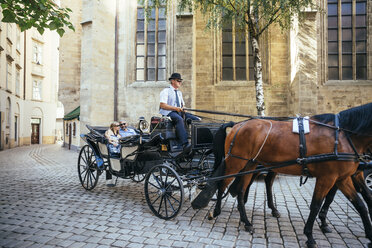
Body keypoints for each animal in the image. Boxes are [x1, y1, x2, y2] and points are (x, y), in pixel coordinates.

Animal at [193, 103, 372, 248]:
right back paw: (216, 212)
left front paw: (369, 234)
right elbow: (316, 205)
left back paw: (247, 221)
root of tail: (238, 124)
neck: (342, 136)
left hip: (250, 164)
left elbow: (361, 204)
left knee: (241, 190)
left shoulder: (342, 178)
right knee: (223, 183)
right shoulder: (327, 177)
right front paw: (310, 235)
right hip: (236, 163)